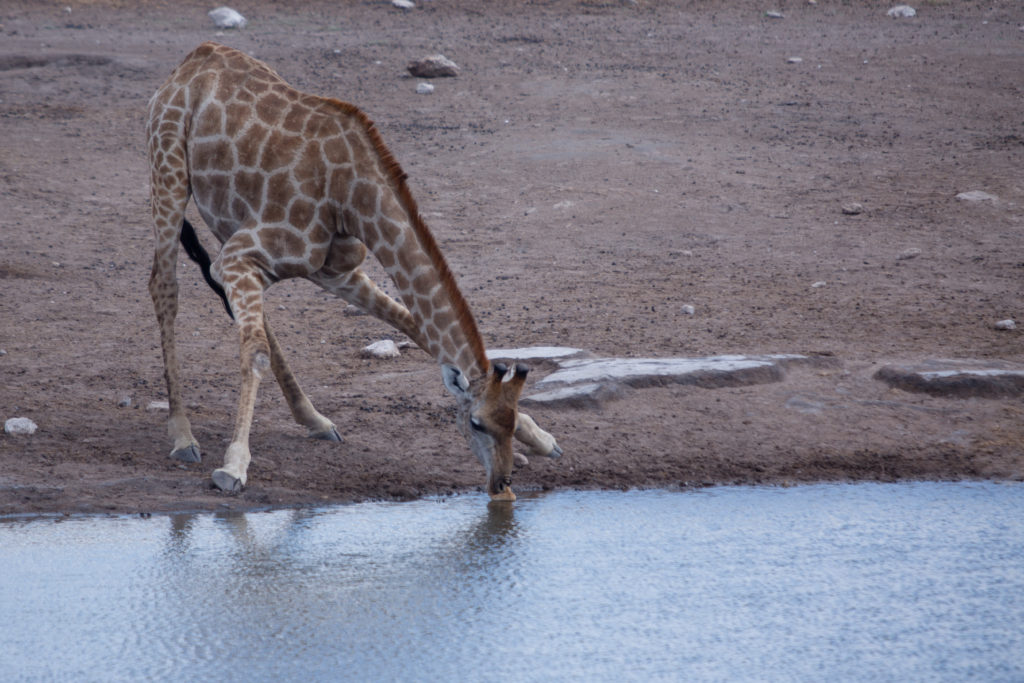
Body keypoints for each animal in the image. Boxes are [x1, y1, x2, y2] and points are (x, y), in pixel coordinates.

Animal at [146, 42, 561, 501]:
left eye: (509, 419)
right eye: (476, 424)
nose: (502, 486)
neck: (351, 196)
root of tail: (195, 58)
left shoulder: (333, 271)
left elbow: (414, 325)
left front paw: (541, 436)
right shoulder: (243, 256)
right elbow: (254, 353)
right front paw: (233, 466)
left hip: (227, 223)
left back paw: (314, 419)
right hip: (168, 171)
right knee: (165, 286)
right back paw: (183, 436)